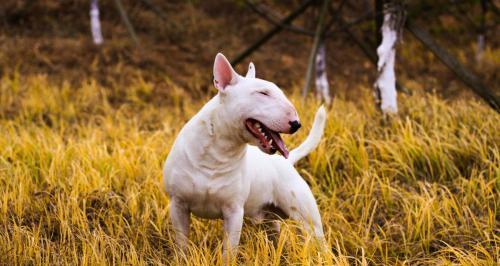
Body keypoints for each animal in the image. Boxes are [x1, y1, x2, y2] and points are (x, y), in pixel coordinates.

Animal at [163, 53, 328, 255]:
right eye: (263, 93)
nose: (297, 124)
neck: (218, 153)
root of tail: (287, 162)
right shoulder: (178, 205)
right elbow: (181, 245)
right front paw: (182, 257)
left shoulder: (234, 212)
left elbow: (229, 252)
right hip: (269, 218)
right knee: (274, 232)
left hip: (308, 221)